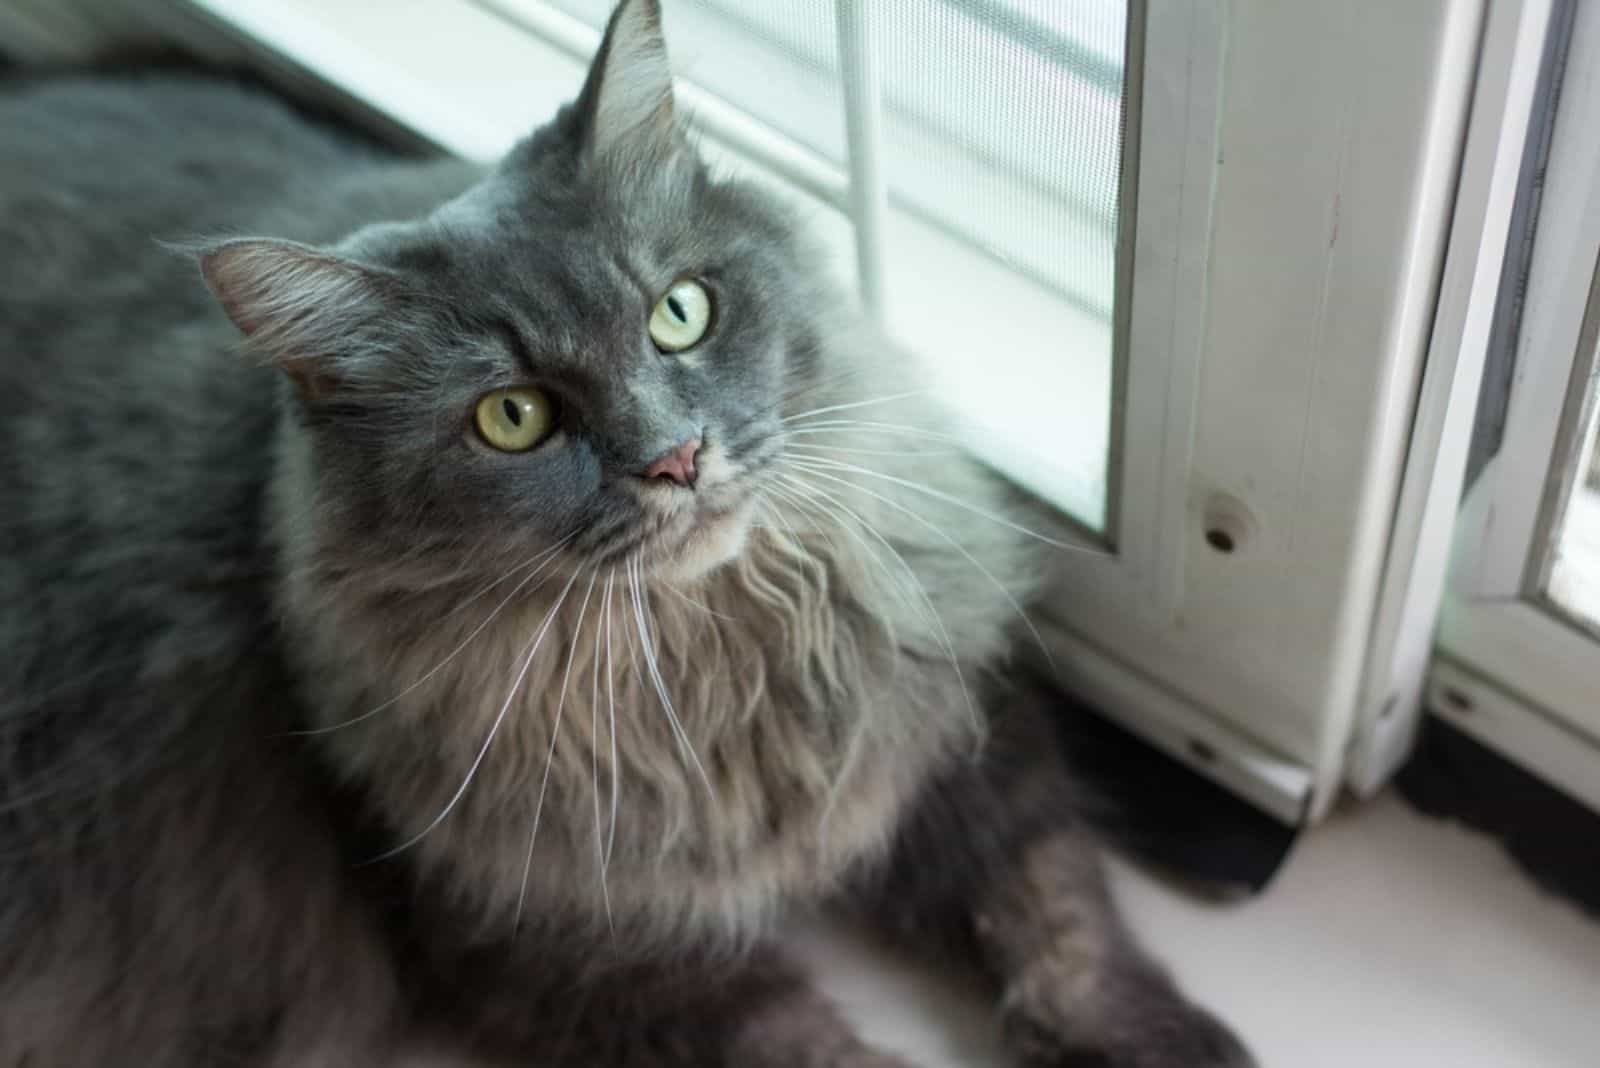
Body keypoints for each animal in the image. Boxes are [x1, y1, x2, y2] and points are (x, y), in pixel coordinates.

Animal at [0, 4, 1248, 1061]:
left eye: (678, 312)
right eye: (513, 418)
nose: (674, 457)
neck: (719, 658)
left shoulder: (949, 719)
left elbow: (1053, 904)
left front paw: (1156, 1040)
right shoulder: (562, 947)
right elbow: (812, 1043)